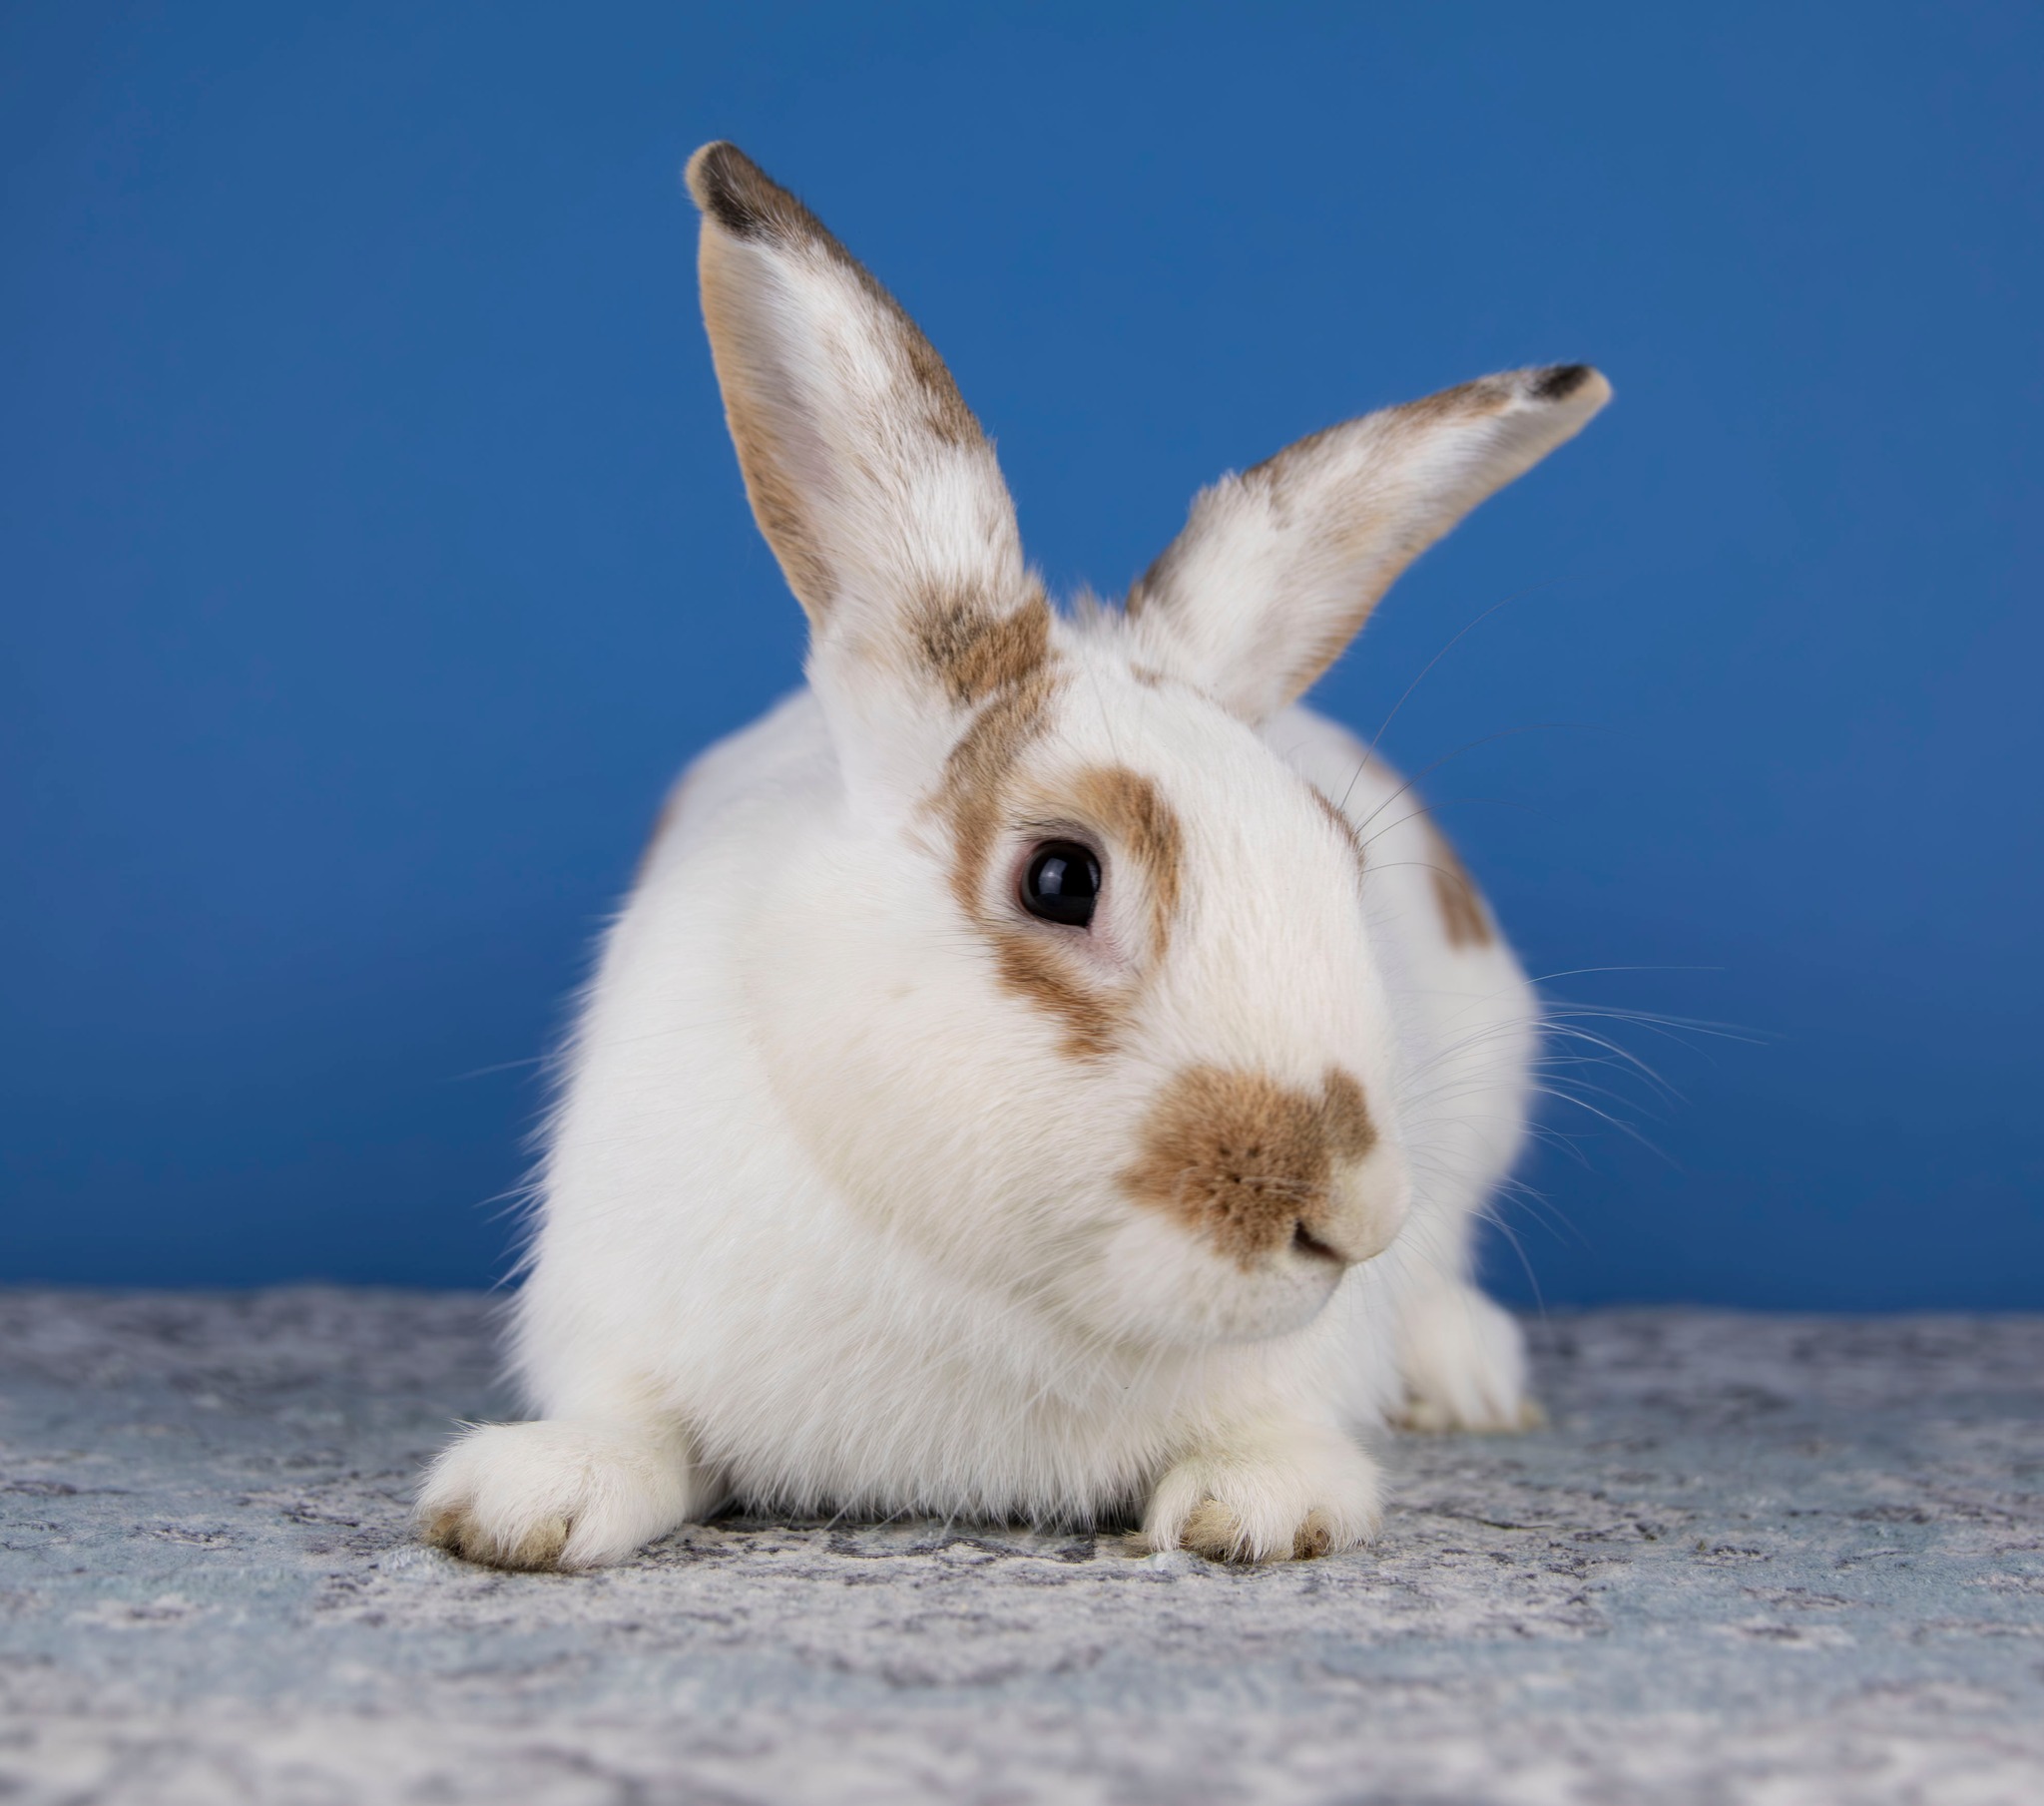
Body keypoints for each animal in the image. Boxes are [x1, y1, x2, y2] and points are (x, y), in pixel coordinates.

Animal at [418, 142, 1608, 1571]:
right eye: (1061, 878)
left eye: (1338, 859)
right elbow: (633, 1426)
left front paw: (1261, 1504)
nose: (1352, 1218)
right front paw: (524, 1501)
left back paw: (1465, 1376)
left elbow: (1268, 1441)